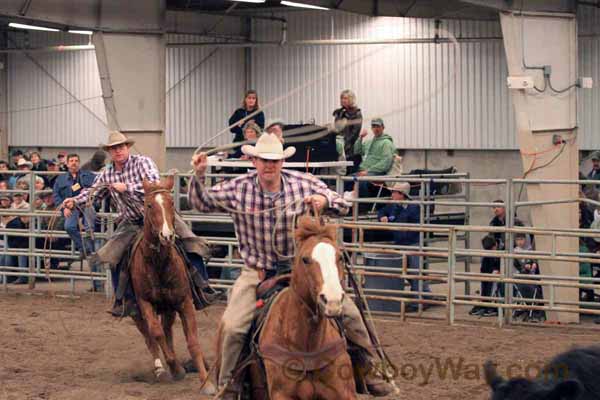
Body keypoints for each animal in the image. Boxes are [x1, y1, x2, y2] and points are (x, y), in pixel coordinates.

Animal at [128, 177, 216, 396]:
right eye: (149, 205)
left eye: (171, 203)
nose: (167, 236)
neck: (159, 263)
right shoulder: (144, 302)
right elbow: (156, 333)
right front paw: (175, 368)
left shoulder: (184, 302)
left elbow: (192, 341)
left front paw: (206, 383)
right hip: (136, 311)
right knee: (150, 337)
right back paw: (161, 370)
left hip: (169, 307)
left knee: (167, 330)